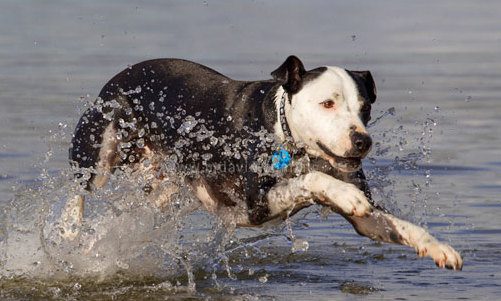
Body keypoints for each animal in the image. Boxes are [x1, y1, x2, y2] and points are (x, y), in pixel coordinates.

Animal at [62, 54, 460, 270]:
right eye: (327, 103)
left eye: (366, 108)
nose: (362, 141)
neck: (284, 133)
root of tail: (123, 74)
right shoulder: (257, 205)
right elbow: (312, 182)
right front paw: (346, 195)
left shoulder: (367, 223)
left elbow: (398, 225)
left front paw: (438, 247)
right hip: (100, 144)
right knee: (80, 183)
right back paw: (68, 227)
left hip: (168, 189)